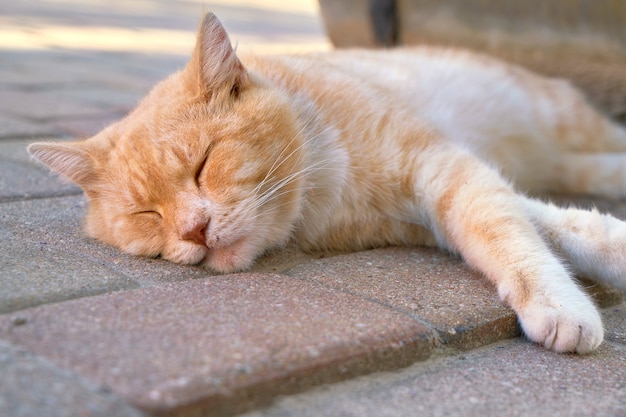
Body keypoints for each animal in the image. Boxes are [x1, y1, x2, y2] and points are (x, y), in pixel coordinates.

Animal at [29, 13, 624, 352]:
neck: (326, 184)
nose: (194, 231)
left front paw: (559, 303)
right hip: (565, 160)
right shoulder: (436, 208)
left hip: (567, 121)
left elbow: (511, 233)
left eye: (203, 163)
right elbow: (543, 225)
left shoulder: (445, 169)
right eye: (147, 214)